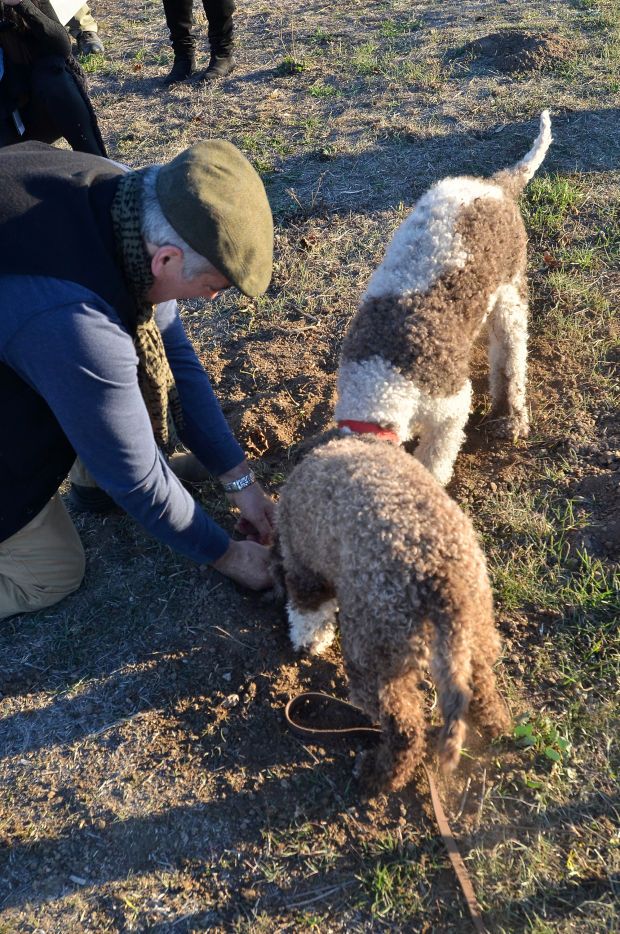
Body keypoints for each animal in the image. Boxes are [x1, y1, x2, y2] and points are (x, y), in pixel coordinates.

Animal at [334, 113, 552, 486]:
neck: (380, 370)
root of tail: (496, 185)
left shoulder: (450, 406)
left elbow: (435, 459)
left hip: (509, 293)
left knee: (511, 357)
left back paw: (512, 416)